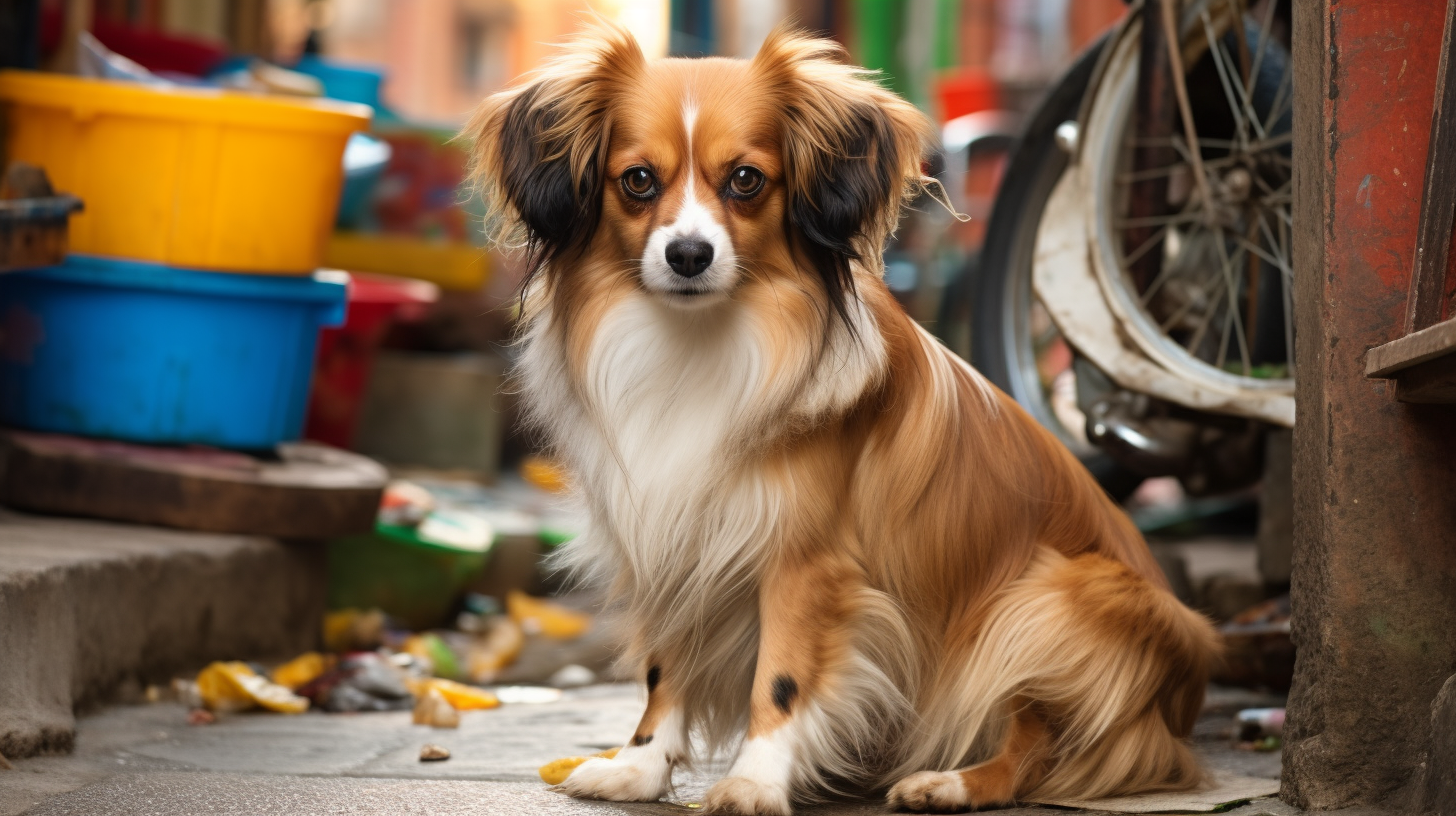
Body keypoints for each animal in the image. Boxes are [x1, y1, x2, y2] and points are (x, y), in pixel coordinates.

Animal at [465, 22, 1217, 810]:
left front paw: (754, 781)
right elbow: (665, 668)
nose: (689, 254)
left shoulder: (804, 565)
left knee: (1036, 739)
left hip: (1043, 601)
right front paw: (641, 767)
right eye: (637, 180)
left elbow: (782, 678)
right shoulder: (673, 539)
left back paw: (952, 781)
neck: (703, 342)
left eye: (746, 180)